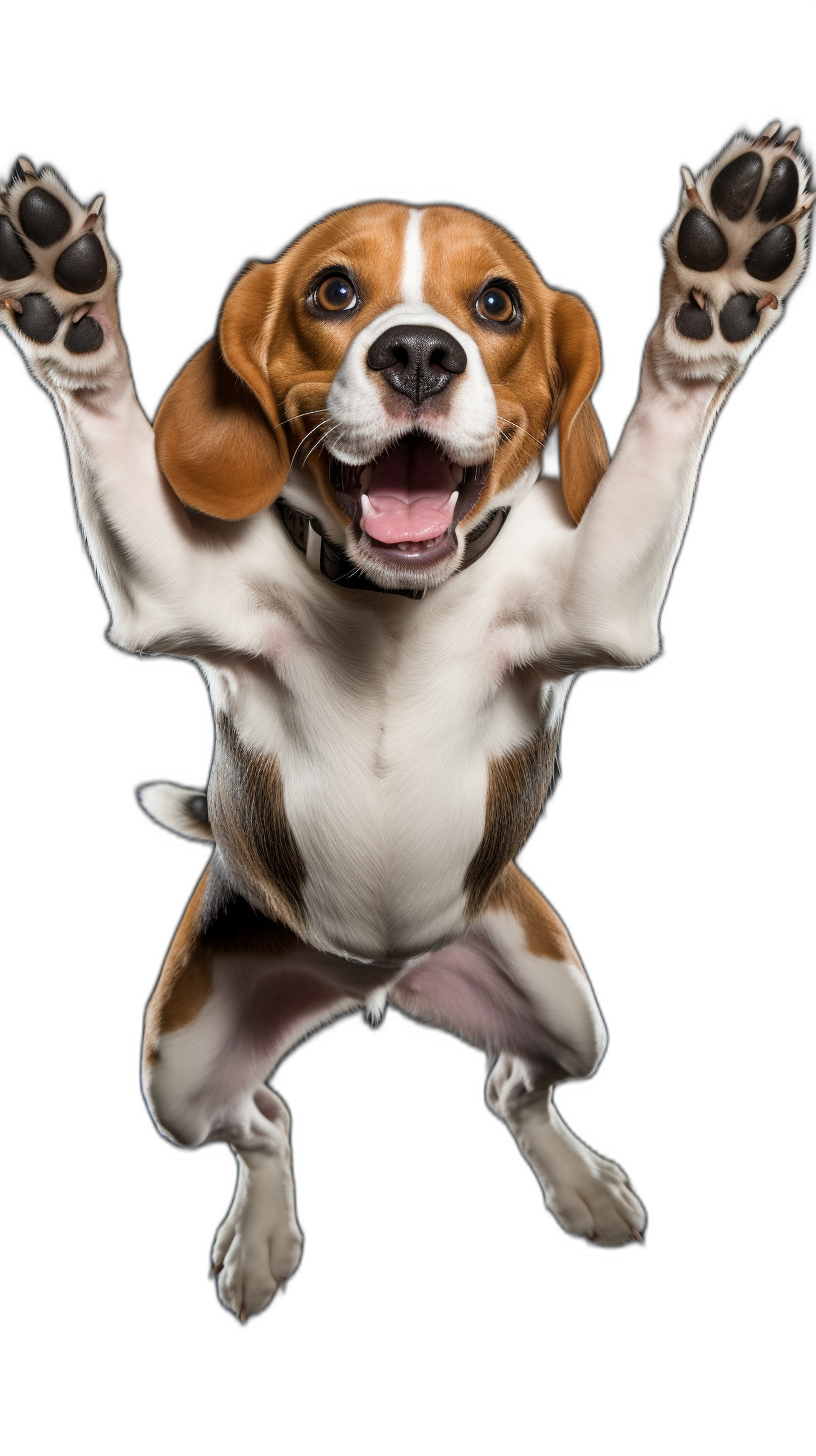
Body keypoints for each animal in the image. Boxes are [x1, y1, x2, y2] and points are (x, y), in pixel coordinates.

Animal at [1, 128, 810, 1322]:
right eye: (334, 292)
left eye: (499, 302)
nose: (420, 354)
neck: (394, 603)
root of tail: (372, 980)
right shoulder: (174, 596)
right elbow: (108, 436)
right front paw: (70, 314)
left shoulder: (598, 607)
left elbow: (659, 443)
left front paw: (717, 300)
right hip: (177, 1071)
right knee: (262, 1119)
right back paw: (262, 1237)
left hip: (565, 1005)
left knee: (514, 1084)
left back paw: (581, 1186)